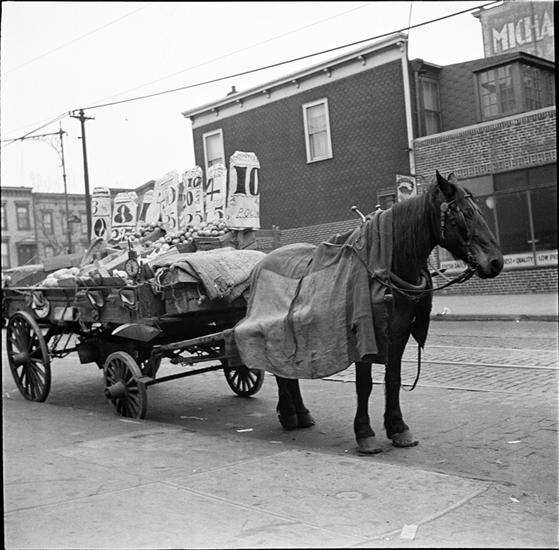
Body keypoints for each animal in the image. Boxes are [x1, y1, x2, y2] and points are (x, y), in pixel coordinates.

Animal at [263, 171, 504, 453]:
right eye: (465, 214)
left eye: (480, 210)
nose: (496, 262)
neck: (384, 266)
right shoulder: (363, 335)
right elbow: (364, 385)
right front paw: (365, 433)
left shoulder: (398, 333)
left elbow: (393, 379)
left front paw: (398, 427)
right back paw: (291, 414)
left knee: (284, 370)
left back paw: (298, 413)